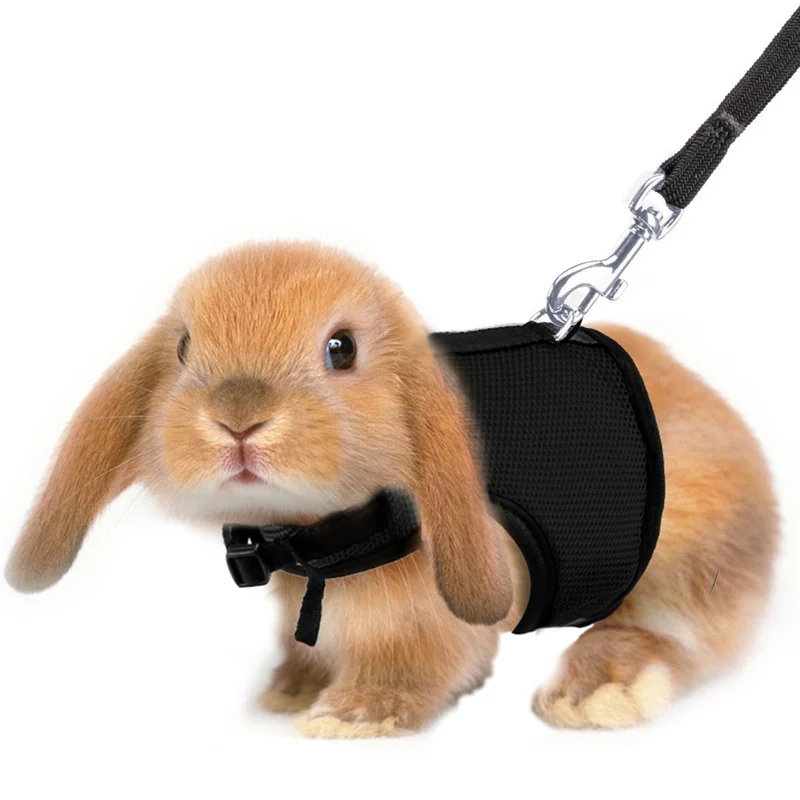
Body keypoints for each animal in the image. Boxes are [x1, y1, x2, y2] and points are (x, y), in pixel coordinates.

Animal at [5, 242, 778, 738]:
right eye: (183, 348)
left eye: (341, 349)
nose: (237, 417)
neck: (320, 543)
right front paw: (289, 691)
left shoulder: (426, 616)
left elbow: (417, 659)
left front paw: (354, 716)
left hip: (684, 556)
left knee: (675, 633)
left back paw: (594, 692)